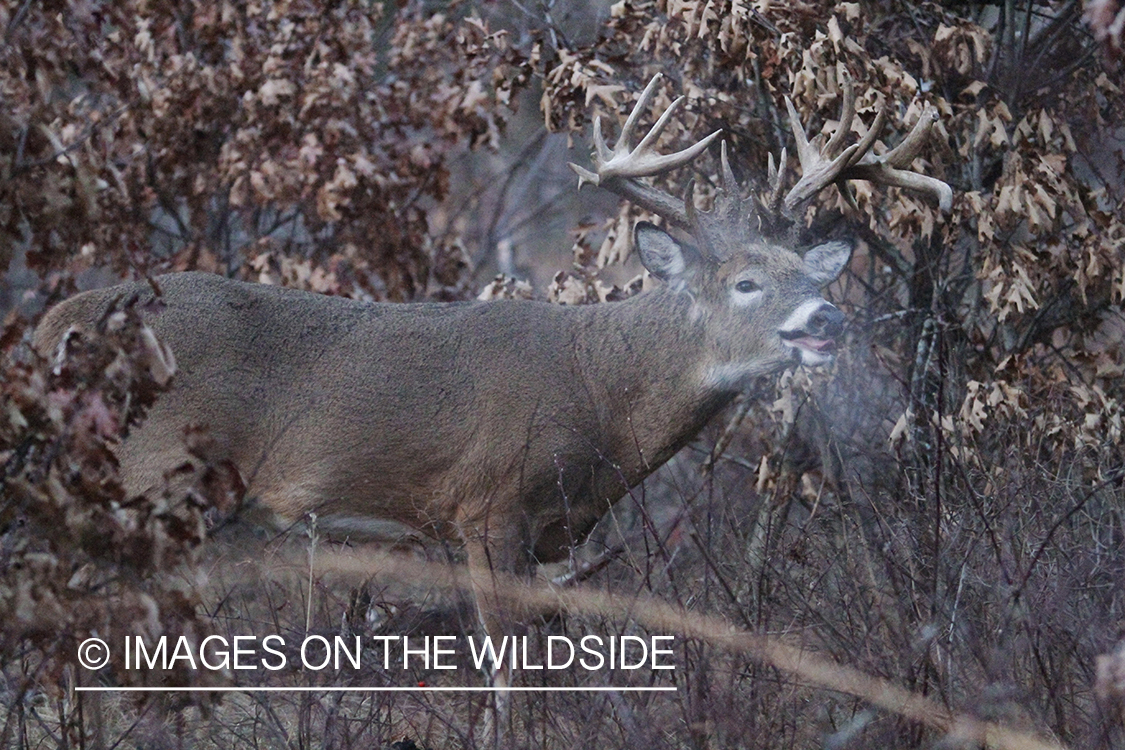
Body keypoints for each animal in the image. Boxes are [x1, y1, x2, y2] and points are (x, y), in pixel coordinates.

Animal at [35, 71, 949, 674]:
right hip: (147, 475)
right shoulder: (486, 505)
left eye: (806, 273)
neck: (600, 390)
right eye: (745, 283)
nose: (826, 319)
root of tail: (56, 323)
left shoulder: (546, 537)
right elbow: (507, 668)